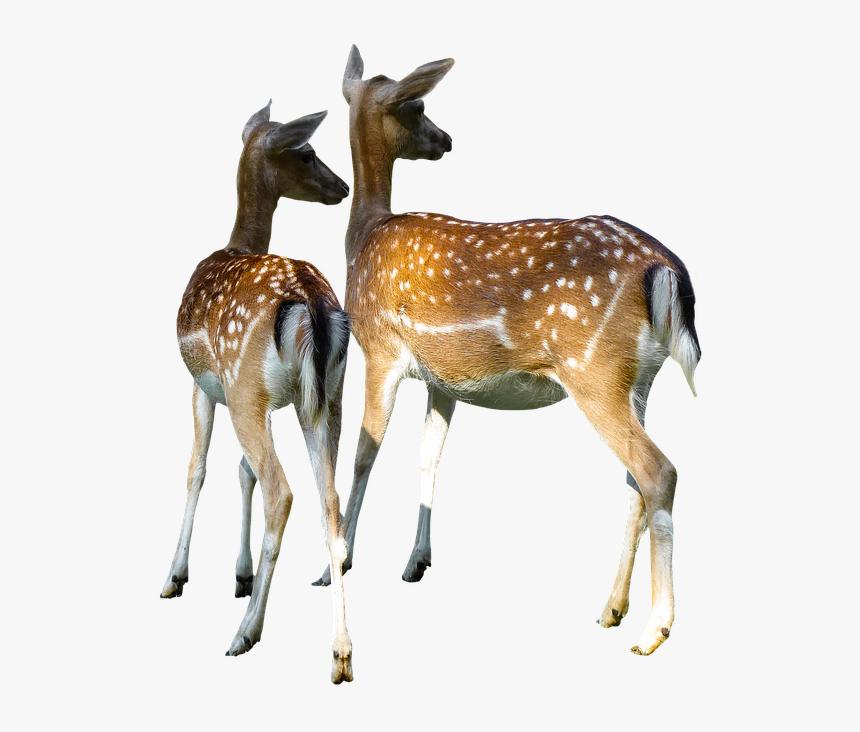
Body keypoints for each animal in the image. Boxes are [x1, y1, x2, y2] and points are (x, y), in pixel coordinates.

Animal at [160, 100, 355, 683]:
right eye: (308, 152)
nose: (342, 186)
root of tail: (308, 298)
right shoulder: (254, 397)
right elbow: (239, 471)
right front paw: (239, 574)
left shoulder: (205, 384)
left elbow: (197, 470)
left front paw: (175, 576)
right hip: (326, 397)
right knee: (329, 499)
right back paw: (340, 654)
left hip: (247, 388)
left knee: (283, 491)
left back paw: (244, 633)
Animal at [313, 46, 701, 657]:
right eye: (417, 108)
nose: (445, 139)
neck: (364, 237)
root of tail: (665, 268)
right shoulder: (443, 380)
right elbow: (429, 457)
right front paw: (415, 562)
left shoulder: (380, 348)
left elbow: (363, 454)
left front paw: (338, 564)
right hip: (640, 378)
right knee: (635, 481)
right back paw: (611, 608)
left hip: (592, 370)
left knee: (658, 470)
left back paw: (653, 628)